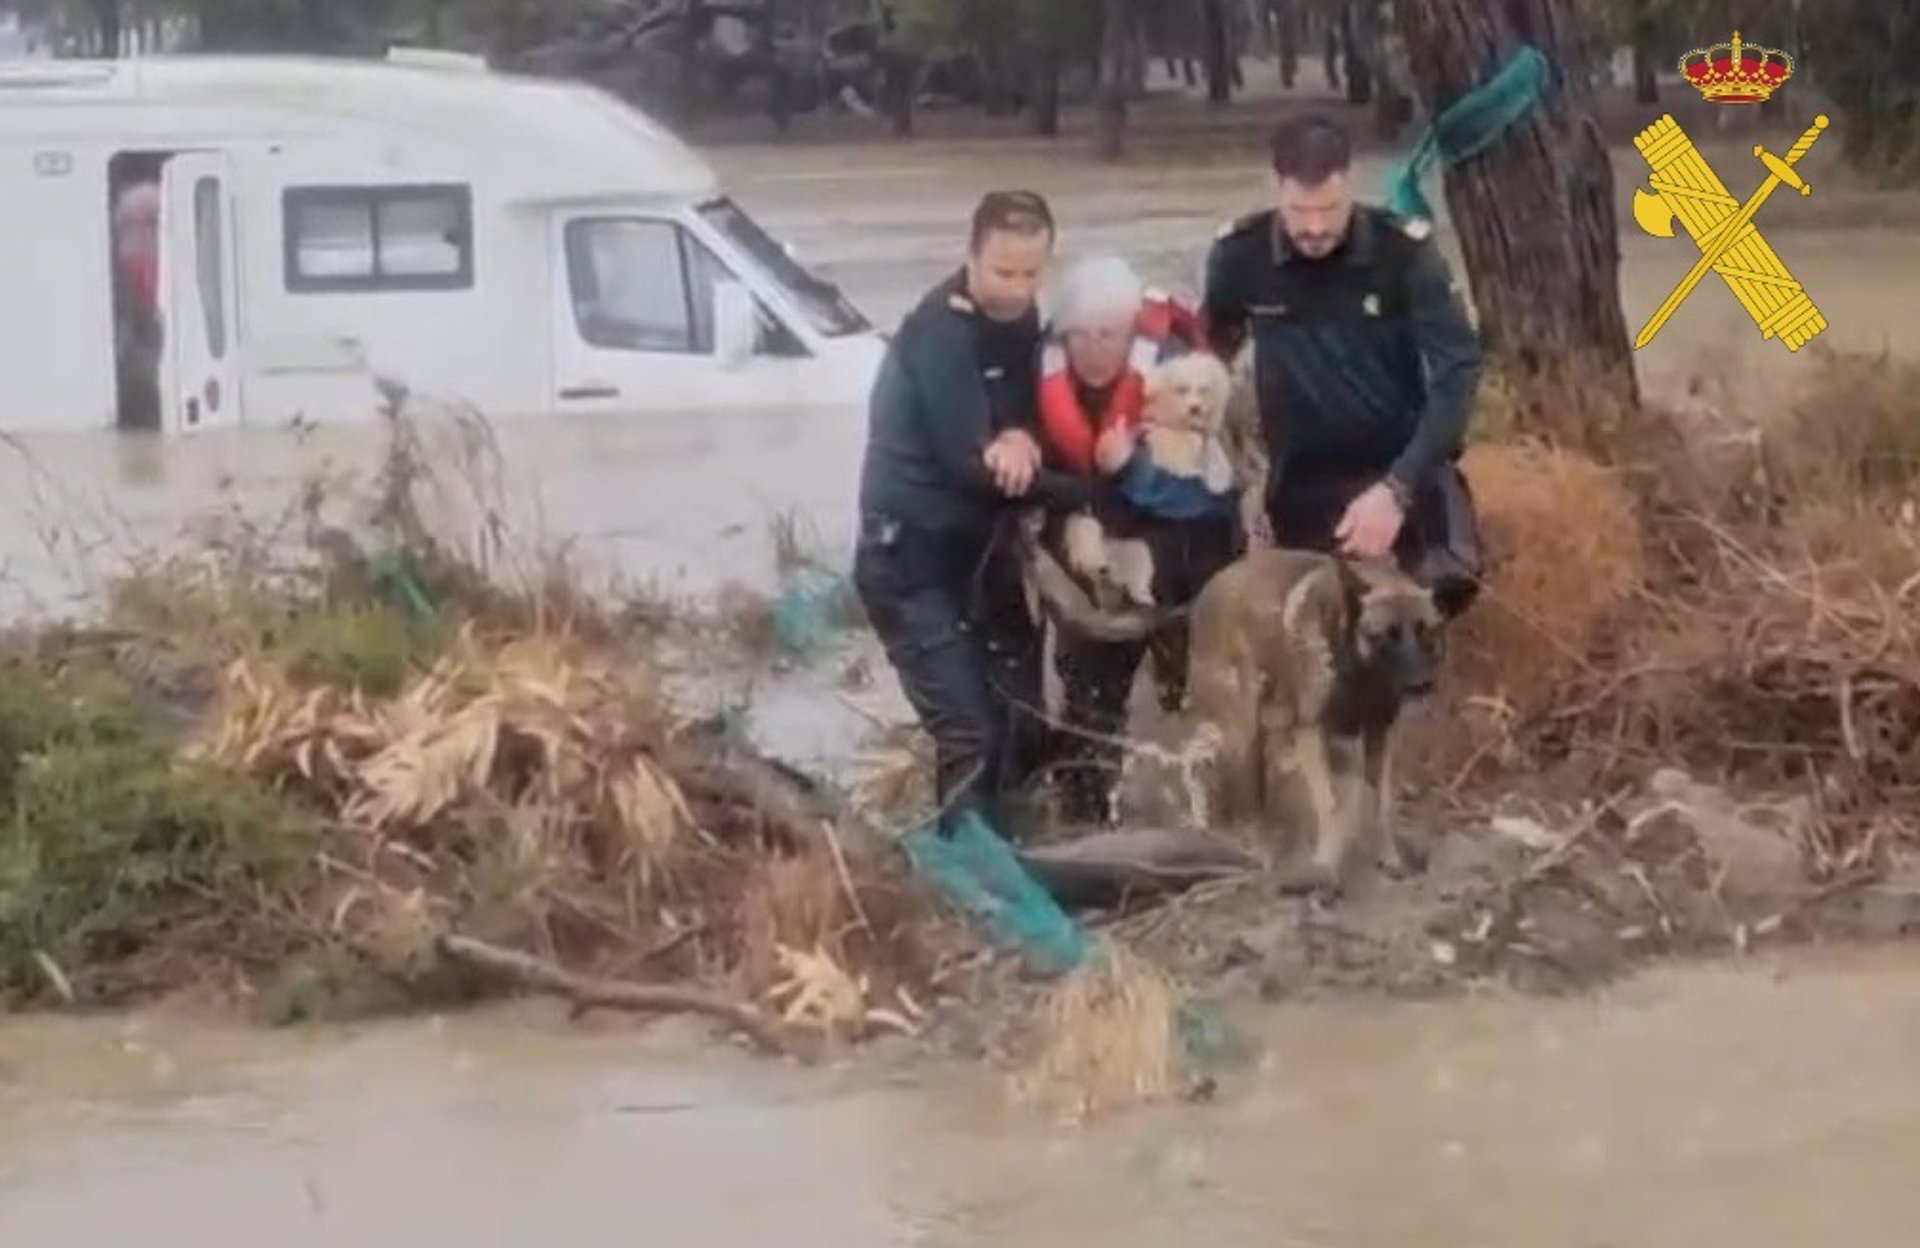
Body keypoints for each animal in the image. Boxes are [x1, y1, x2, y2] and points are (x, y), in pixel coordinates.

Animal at [1182, 549, 1443, 890]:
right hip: (1245, 729)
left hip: (1264, 726)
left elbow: (1382, 804)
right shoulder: (1311, 734)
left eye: (1427, 632)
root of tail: (1205, 593)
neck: (1357, 670)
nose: (1422, 685)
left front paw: (1391, 858)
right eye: (1384, 636)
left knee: (1207, 757)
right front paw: (1325, 866)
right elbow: (1329, 806)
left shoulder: (1379, 734)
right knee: (1231, 780)